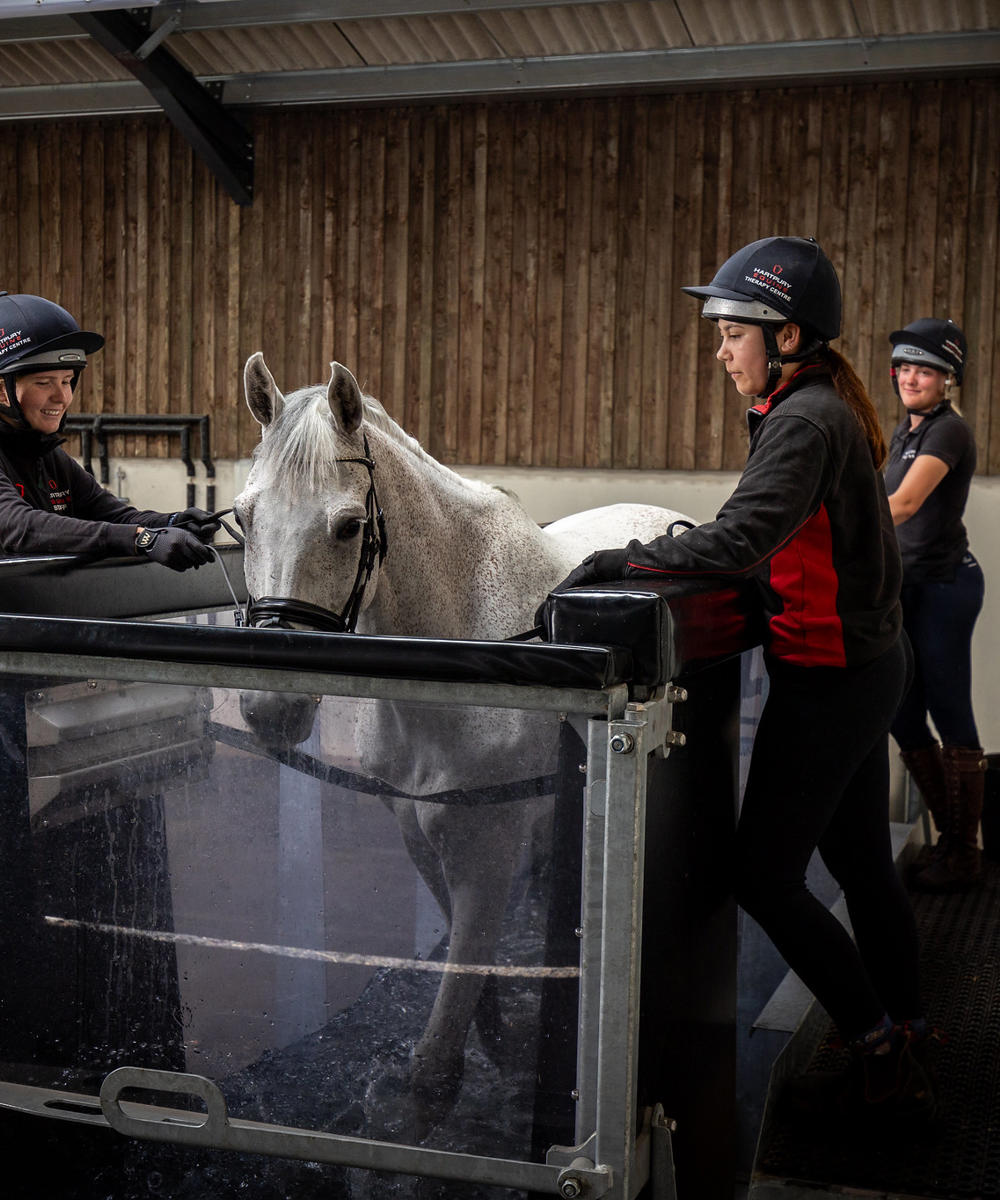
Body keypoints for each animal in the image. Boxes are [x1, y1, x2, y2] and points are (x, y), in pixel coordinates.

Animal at [234, 350, 691, 1137]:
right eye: (243, 516)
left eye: (348, 526)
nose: (271, 707)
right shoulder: (420, 827)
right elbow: (468, 954)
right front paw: (503, 1039)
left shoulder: (489, 840)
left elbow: (459, 987)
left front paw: (437, 1091)